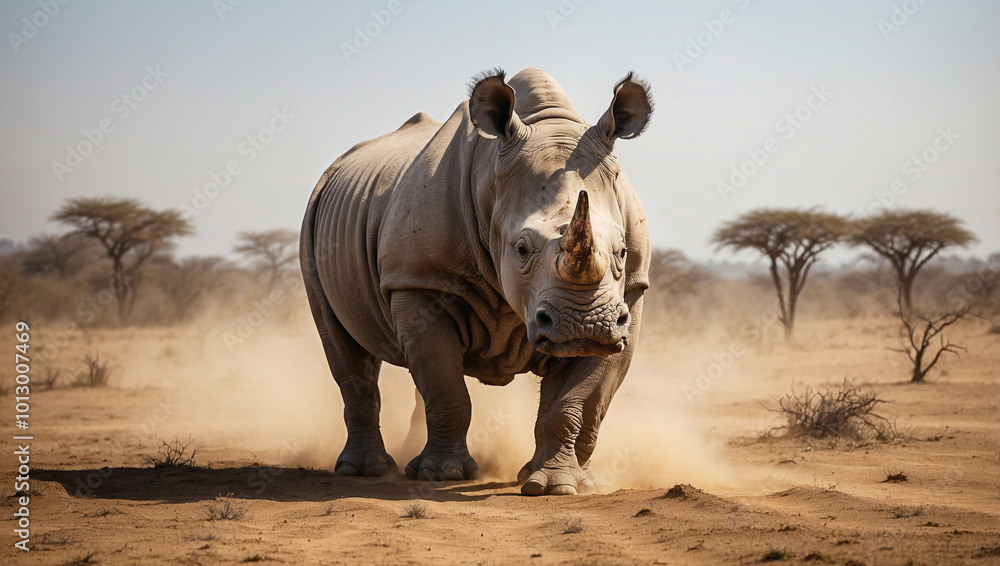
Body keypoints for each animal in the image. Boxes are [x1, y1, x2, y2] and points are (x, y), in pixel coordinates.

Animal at [300, 67, 652, 496]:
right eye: (521, 249)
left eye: (622, 251)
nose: (584, 323)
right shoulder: (419, 279)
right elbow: (447, 388)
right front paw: (443, 475)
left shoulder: (627, 297)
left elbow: (578, 403)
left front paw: (562, 487)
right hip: (315, 218)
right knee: (346, 350)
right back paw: (369, 470)